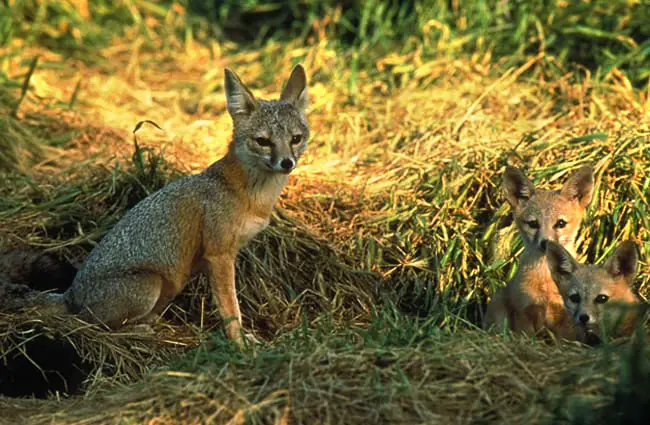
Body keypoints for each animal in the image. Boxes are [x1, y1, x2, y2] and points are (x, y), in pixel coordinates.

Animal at [4, 65, 308, 344]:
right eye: (263, 141)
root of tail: (72, 295)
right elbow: (231, 309)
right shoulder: (219, 255)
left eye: (295, 139)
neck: (250, 193)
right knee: (94, 326)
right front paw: (239, 345)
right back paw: (138, 330)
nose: (287, 163)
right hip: (150, 285)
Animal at [480, 164, 592, 340]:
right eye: (533, 224)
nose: (545, 242)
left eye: (560, 223)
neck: (546, 281)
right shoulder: (524, 312)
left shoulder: (566, 319)